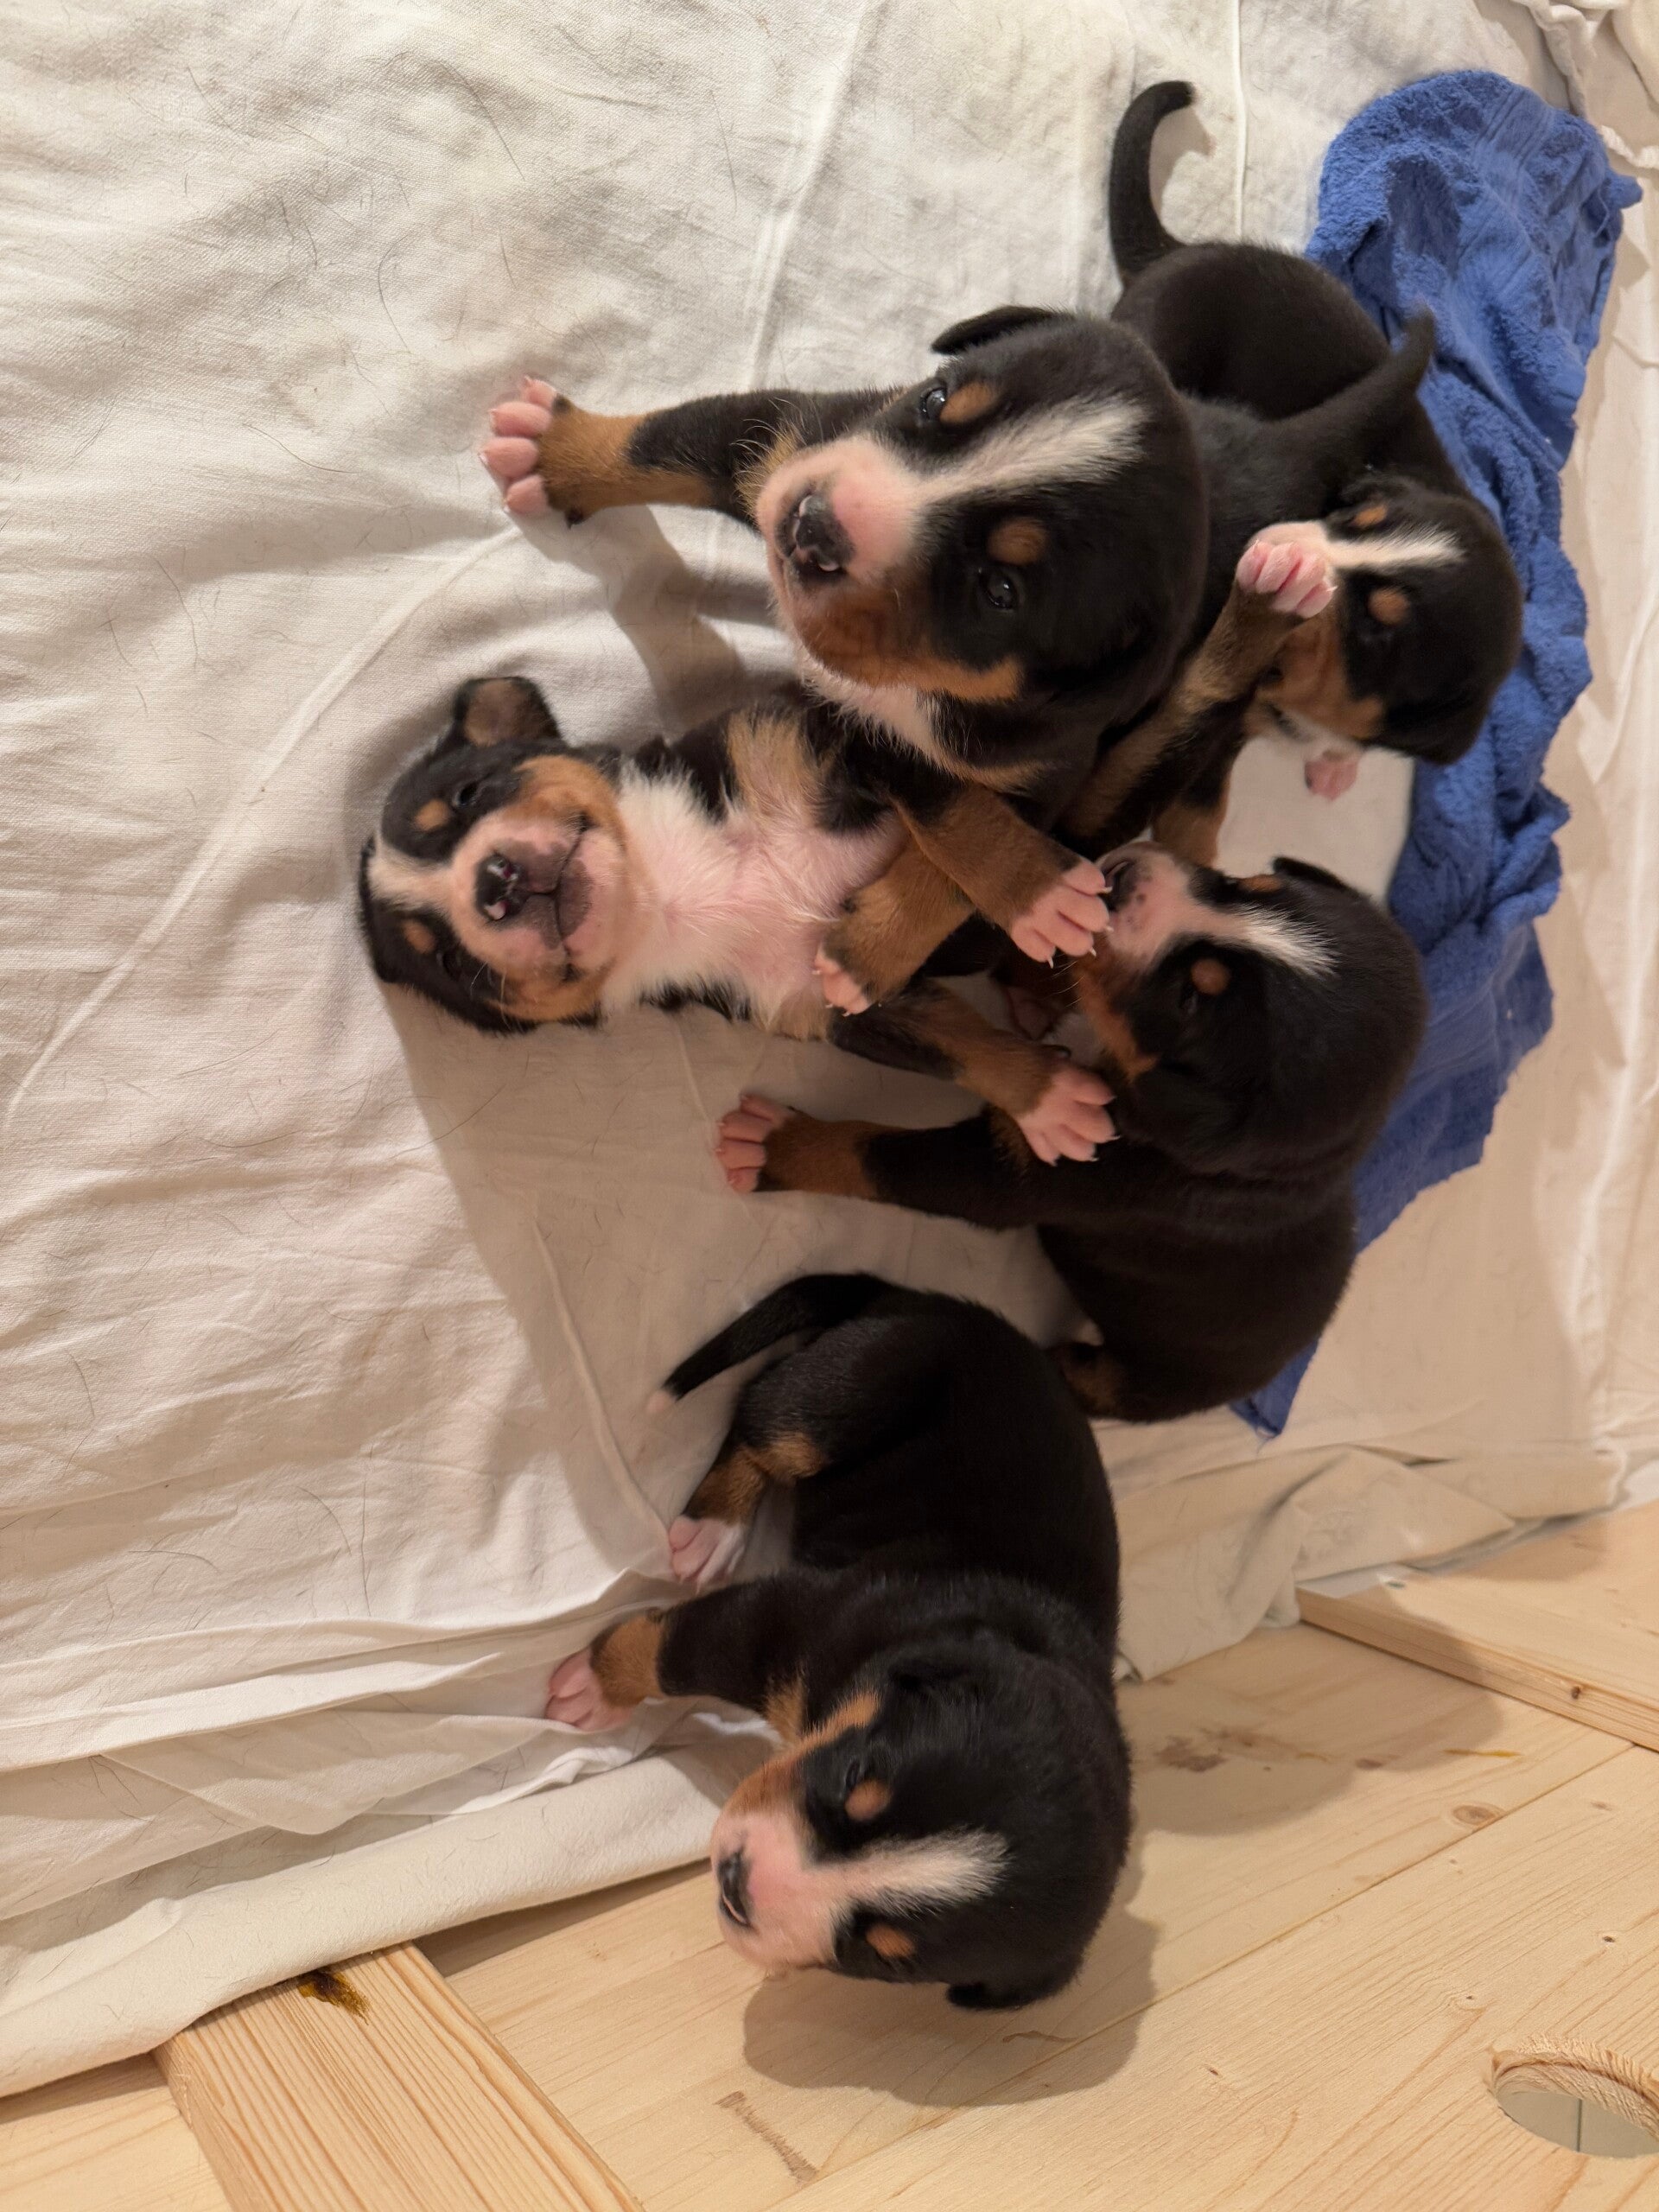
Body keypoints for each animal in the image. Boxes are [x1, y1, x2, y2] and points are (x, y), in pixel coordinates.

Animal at [479, 294, 1432, 1012]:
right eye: (937, 401)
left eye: (998, 590)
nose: (812, 526)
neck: (918, 681)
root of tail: (1276, 447)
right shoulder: (794, 441)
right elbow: (668, 441)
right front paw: (556, 452)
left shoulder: (1043, 751)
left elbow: (952, 812)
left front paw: (915, 932)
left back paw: (1281, 585)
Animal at [545, 1274, 1132, 2010]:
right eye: (856, 1776)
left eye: (881, 1956)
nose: (736, 1883)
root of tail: (924, 1297)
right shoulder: (785, 1619)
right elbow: (668, 1649)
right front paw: (591, 1689)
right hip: (856, 1388)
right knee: (762, 1413)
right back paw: (713, 1530)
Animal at [713, 840, 1427, 1423]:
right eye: (1248, 884)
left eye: (1190, 1000)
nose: (1123, 874)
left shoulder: (1039, 1175)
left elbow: (878, 1157)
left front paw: (773, 1147)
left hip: (1154, 1380)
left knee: (1105, 1388)